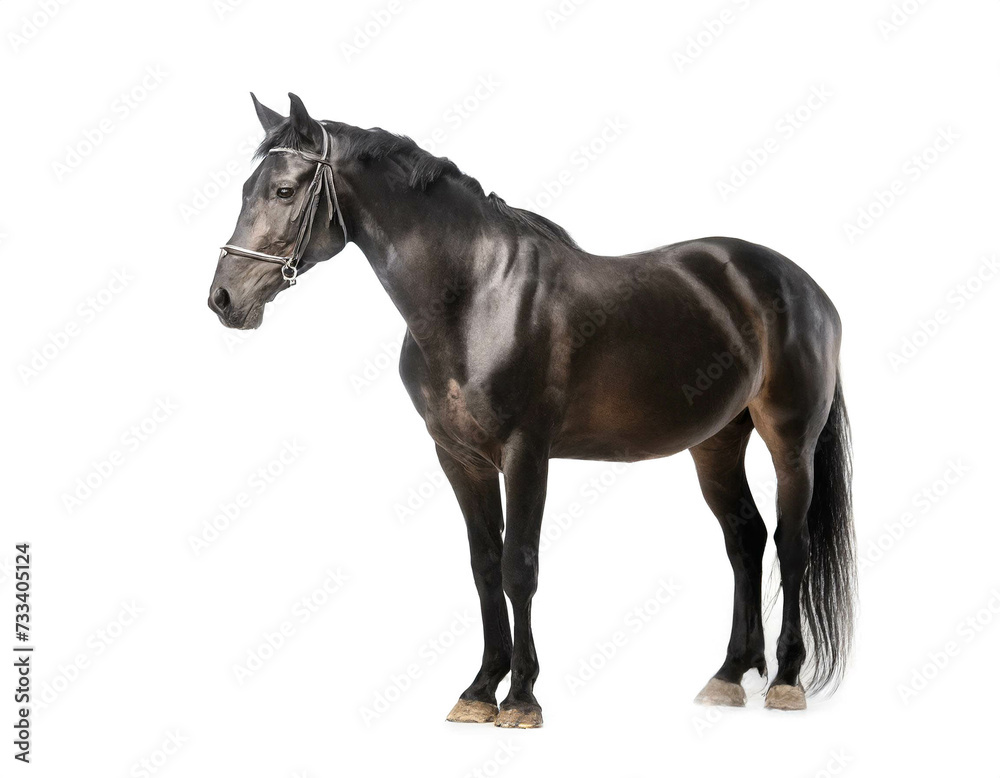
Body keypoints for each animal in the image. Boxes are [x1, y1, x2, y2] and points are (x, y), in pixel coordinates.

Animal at [208, 93, 856, 728]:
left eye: (283, 191)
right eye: (245, 189)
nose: (223, 298)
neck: (476, 297)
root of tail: (803, 286)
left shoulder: (525, 452)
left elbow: (520, 568)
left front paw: (521, 698)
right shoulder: (458, 458)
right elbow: (485, 566)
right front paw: (479, 690)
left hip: (790, 440)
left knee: (791, 544)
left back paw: (786, 681)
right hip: (716, 442)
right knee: (745, 540)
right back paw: (728, 676)